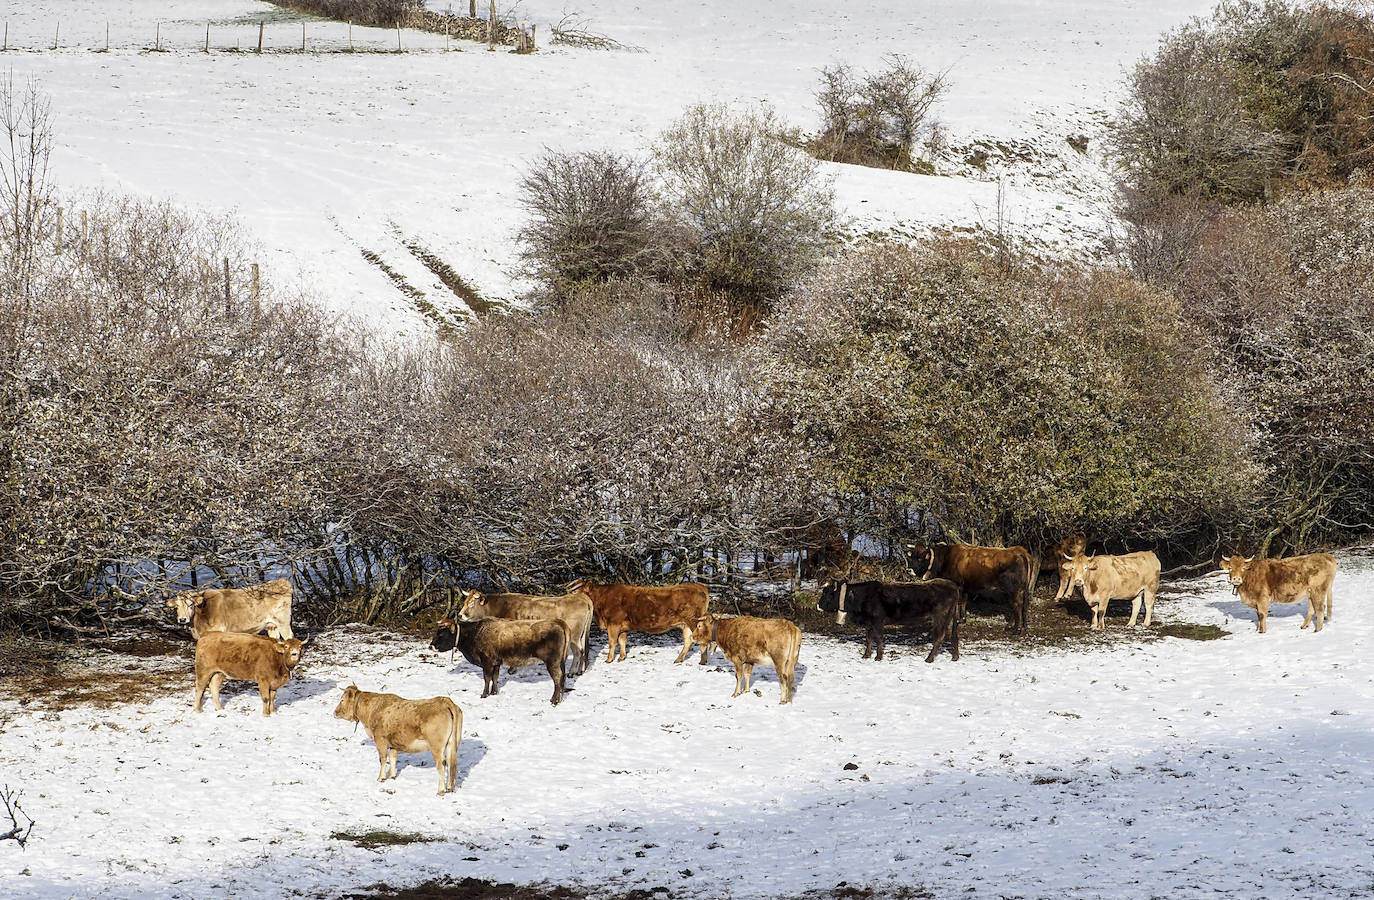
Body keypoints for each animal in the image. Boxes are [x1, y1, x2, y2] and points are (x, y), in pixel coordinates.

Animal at [428, 615, 568, 709]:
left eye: (442, 634)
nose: (431, 646)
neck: (475, 633)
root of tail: (557, 621)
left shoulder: (487, 662)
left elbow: (487, 678)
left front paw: (484, 694)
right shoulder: (496, 663)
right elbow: (495, 678)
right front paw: (494, 693)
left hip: (552, 662)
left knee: (557, 679)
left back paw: (554, 700)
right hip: (560, 662)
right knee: (562, 679)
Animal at [456, 590, 596, 676]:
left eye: (471, 604)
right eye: (464, 602)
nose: (460, 615)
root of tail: (580, 597)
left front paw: (512, 669)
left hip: (575, 636)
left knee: (579, 651)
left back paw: (574, 672)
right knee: (583, 651)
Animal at [571, 579, 714, 665]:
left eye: (577, 591)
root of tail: (699, 585)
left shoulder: (613, 624)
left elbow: (612, 642)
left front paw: (609, 659)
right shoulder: (622, 628)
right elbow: (622, 641)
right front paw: (622, 657)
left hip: (694, 622)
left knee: (702, 640)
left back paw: (702, 661)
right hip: (685, 625)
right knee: (688, 641)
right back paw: (679, 659)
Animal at [818, 577, 961, 662]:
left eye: (828, 593)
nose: (818, 606)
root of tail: (952, 585)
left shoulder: (877, 622)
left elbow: (879, 639)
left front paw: (878, 657)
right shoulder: (869, 624)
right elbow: (869, 639)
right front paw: (866, 655)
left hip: (939, 619)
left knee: (939, 637)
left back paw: (929, 658)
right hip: (949, 620)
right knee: (953, 636)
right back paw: (954, 657)